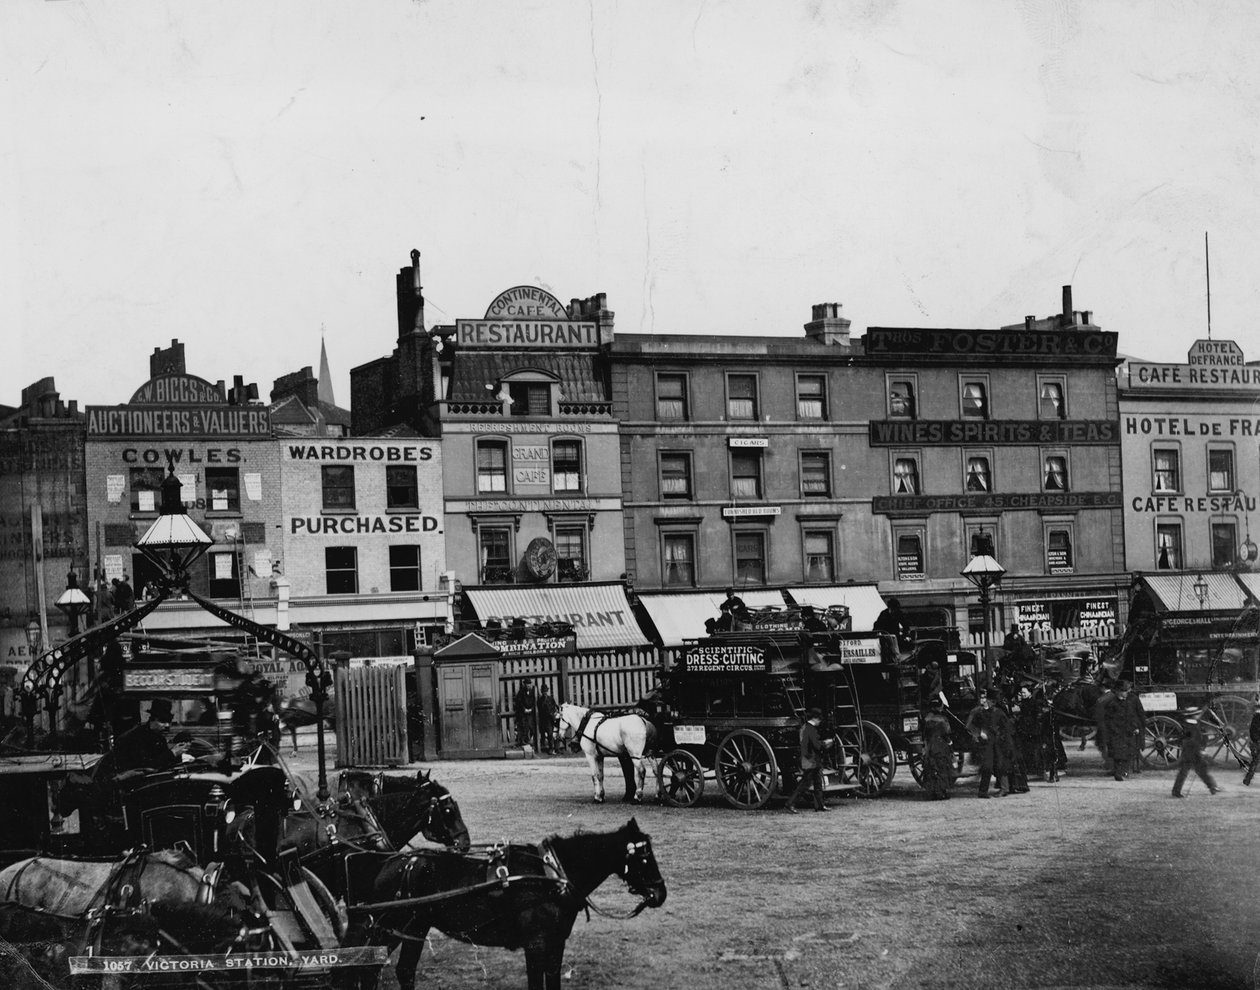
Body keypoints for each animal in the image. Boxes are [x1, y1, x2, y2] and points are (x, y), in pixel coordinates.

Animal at [340, 816, 665, 987]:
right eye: (643, 857)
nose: (660, 894)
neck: (551, 875)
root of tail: (393, 862)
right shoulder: (536, 944)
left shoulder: (556, 942)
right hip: (394, 928)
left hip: (411, 930)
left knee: (395, 970)